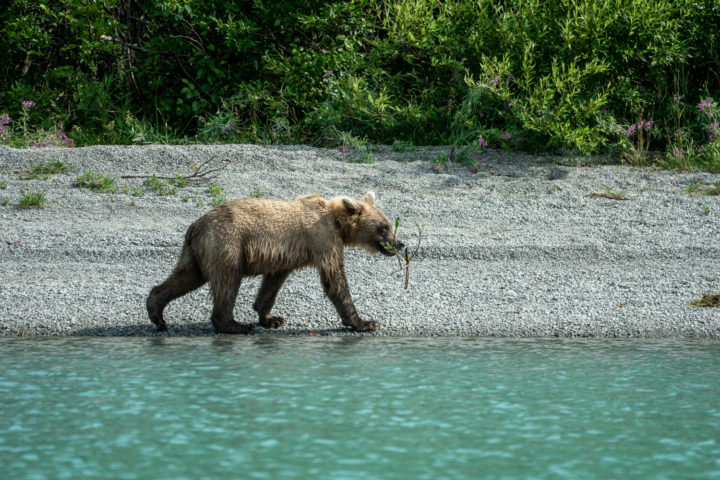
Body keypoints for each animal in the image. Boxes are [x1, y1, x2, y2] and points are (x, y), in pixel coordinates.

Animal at [146, 191, 404, 334]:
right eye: (384, 227)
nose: (400, 244)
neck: (338, 224)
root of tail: (195, 225)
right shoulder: (323, 240)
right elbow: (334, 280)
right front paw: (366, 322)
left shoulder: (285, 254)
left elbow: (272, 283)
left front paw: (271, 318)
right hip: (228, 243)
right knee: (228, 281)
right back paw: (235, 325)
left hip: (197, 252)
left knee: (185, 277)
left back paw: (157, 314)